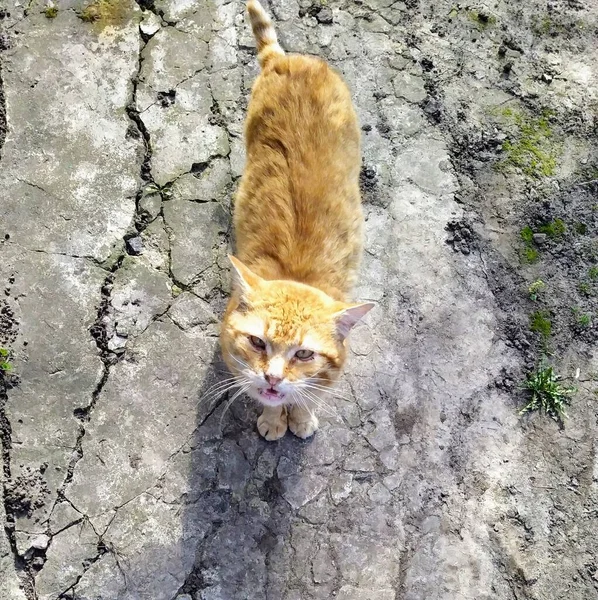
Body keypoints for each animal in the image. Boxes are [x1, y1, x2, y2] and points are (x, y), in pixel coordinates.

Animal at [219, 0, 376, 440]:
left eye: (304, 353)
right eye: (258, 344)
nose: (273, 378)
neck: (298, 273)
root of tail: (287, 59)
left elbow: (309, 395)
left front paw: (300, 416)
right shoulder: (238, 364)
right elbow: (261, 395)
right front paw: (275, 418)